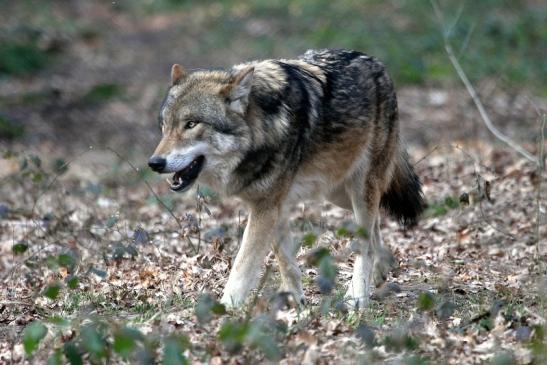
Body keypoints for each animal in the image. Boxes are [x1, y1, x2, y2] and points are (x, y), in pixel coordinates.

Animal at [148, 48, 426, 308]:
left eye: (191, 124)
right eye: (164, 126)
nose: (154, 163)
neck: (262, 127)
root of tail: (376, 63)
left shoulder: (265, 209)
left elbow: (242, 267)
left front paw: (226, 309)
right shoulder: (274, 206)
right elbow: (286, 262)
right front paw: (296, 302)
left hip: (359, 187)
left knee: (365, 239)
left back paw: (357, 296)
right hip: (339, 194)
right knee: (375, 222)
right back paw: (380, 271)